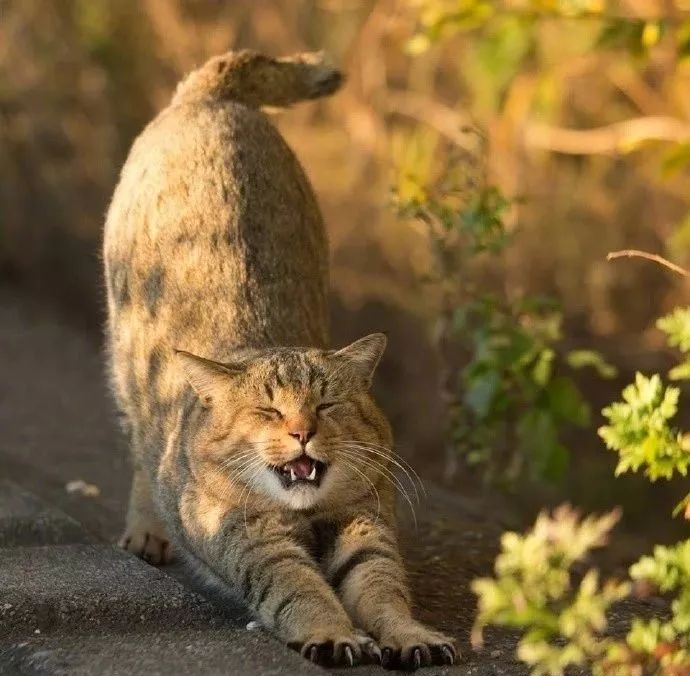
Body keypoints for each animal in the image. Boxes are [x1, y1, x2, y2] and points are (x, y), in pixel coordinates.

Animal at [102, 48, 454, 672]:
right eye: (267, 412)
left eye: (327, 404)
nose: (301, 432)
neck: (304, 511)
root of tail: (211, 95)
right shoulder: (252, 540)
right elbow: (301, 589)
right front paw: (333, 633)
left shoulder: (366, 524)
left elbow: (383, 588)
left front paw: (408, 633)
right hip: (123, 364)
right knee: (142, 453)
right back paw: (147, 528)